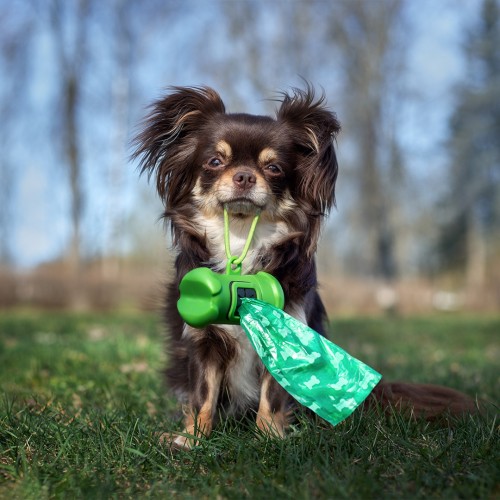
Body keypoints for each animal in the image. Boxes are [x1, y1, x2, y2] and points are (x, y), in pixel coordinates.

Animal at [135, 85, 478, 450]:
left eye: (274, 168)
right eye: (215, 161)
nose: (244, 176)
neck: (242, 239)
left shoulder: (287, 331)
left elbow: (273, 396)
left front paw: (270, 438)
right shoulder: (204, 342)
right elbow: (203, 395)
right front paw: (193, 439)